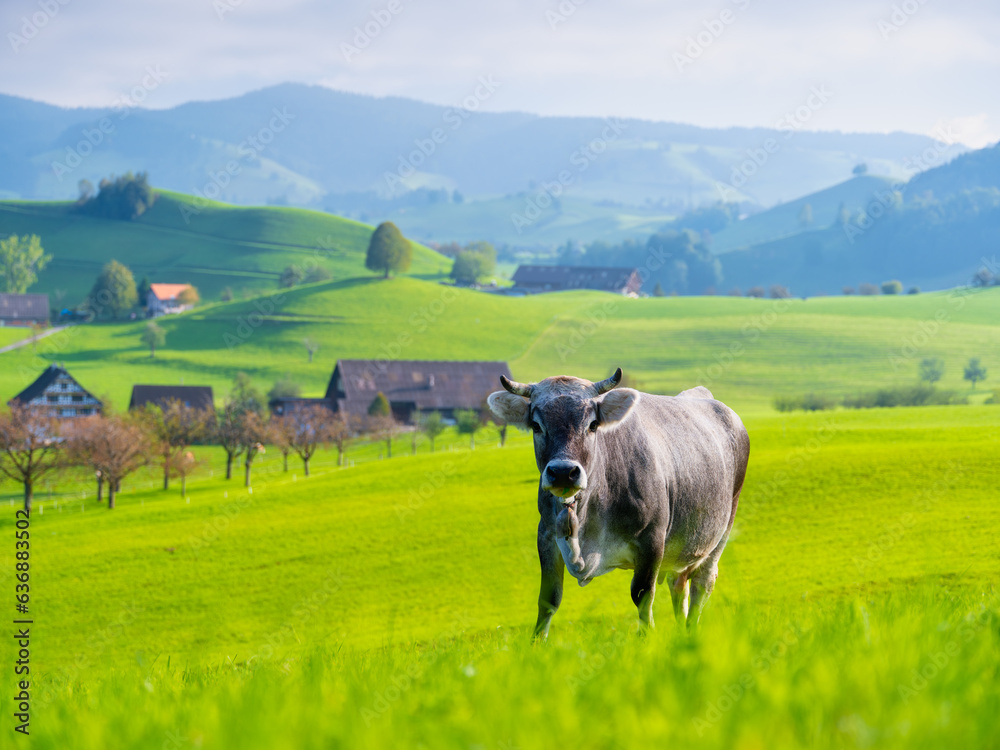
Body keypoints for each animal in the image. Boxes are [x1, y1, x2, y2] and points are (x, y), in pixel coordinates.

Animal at [484, 368, 752, 640]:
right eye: (537, 426)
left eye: (592, 425)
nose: (562, 472)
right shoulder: (546, 536)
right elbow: (549, 599)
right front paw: (537, 645)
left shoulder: (651, 540)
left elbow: (642, 596)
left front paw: (647, 640)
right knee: (679, 585)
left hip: (721, 531)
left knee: (702, 583)